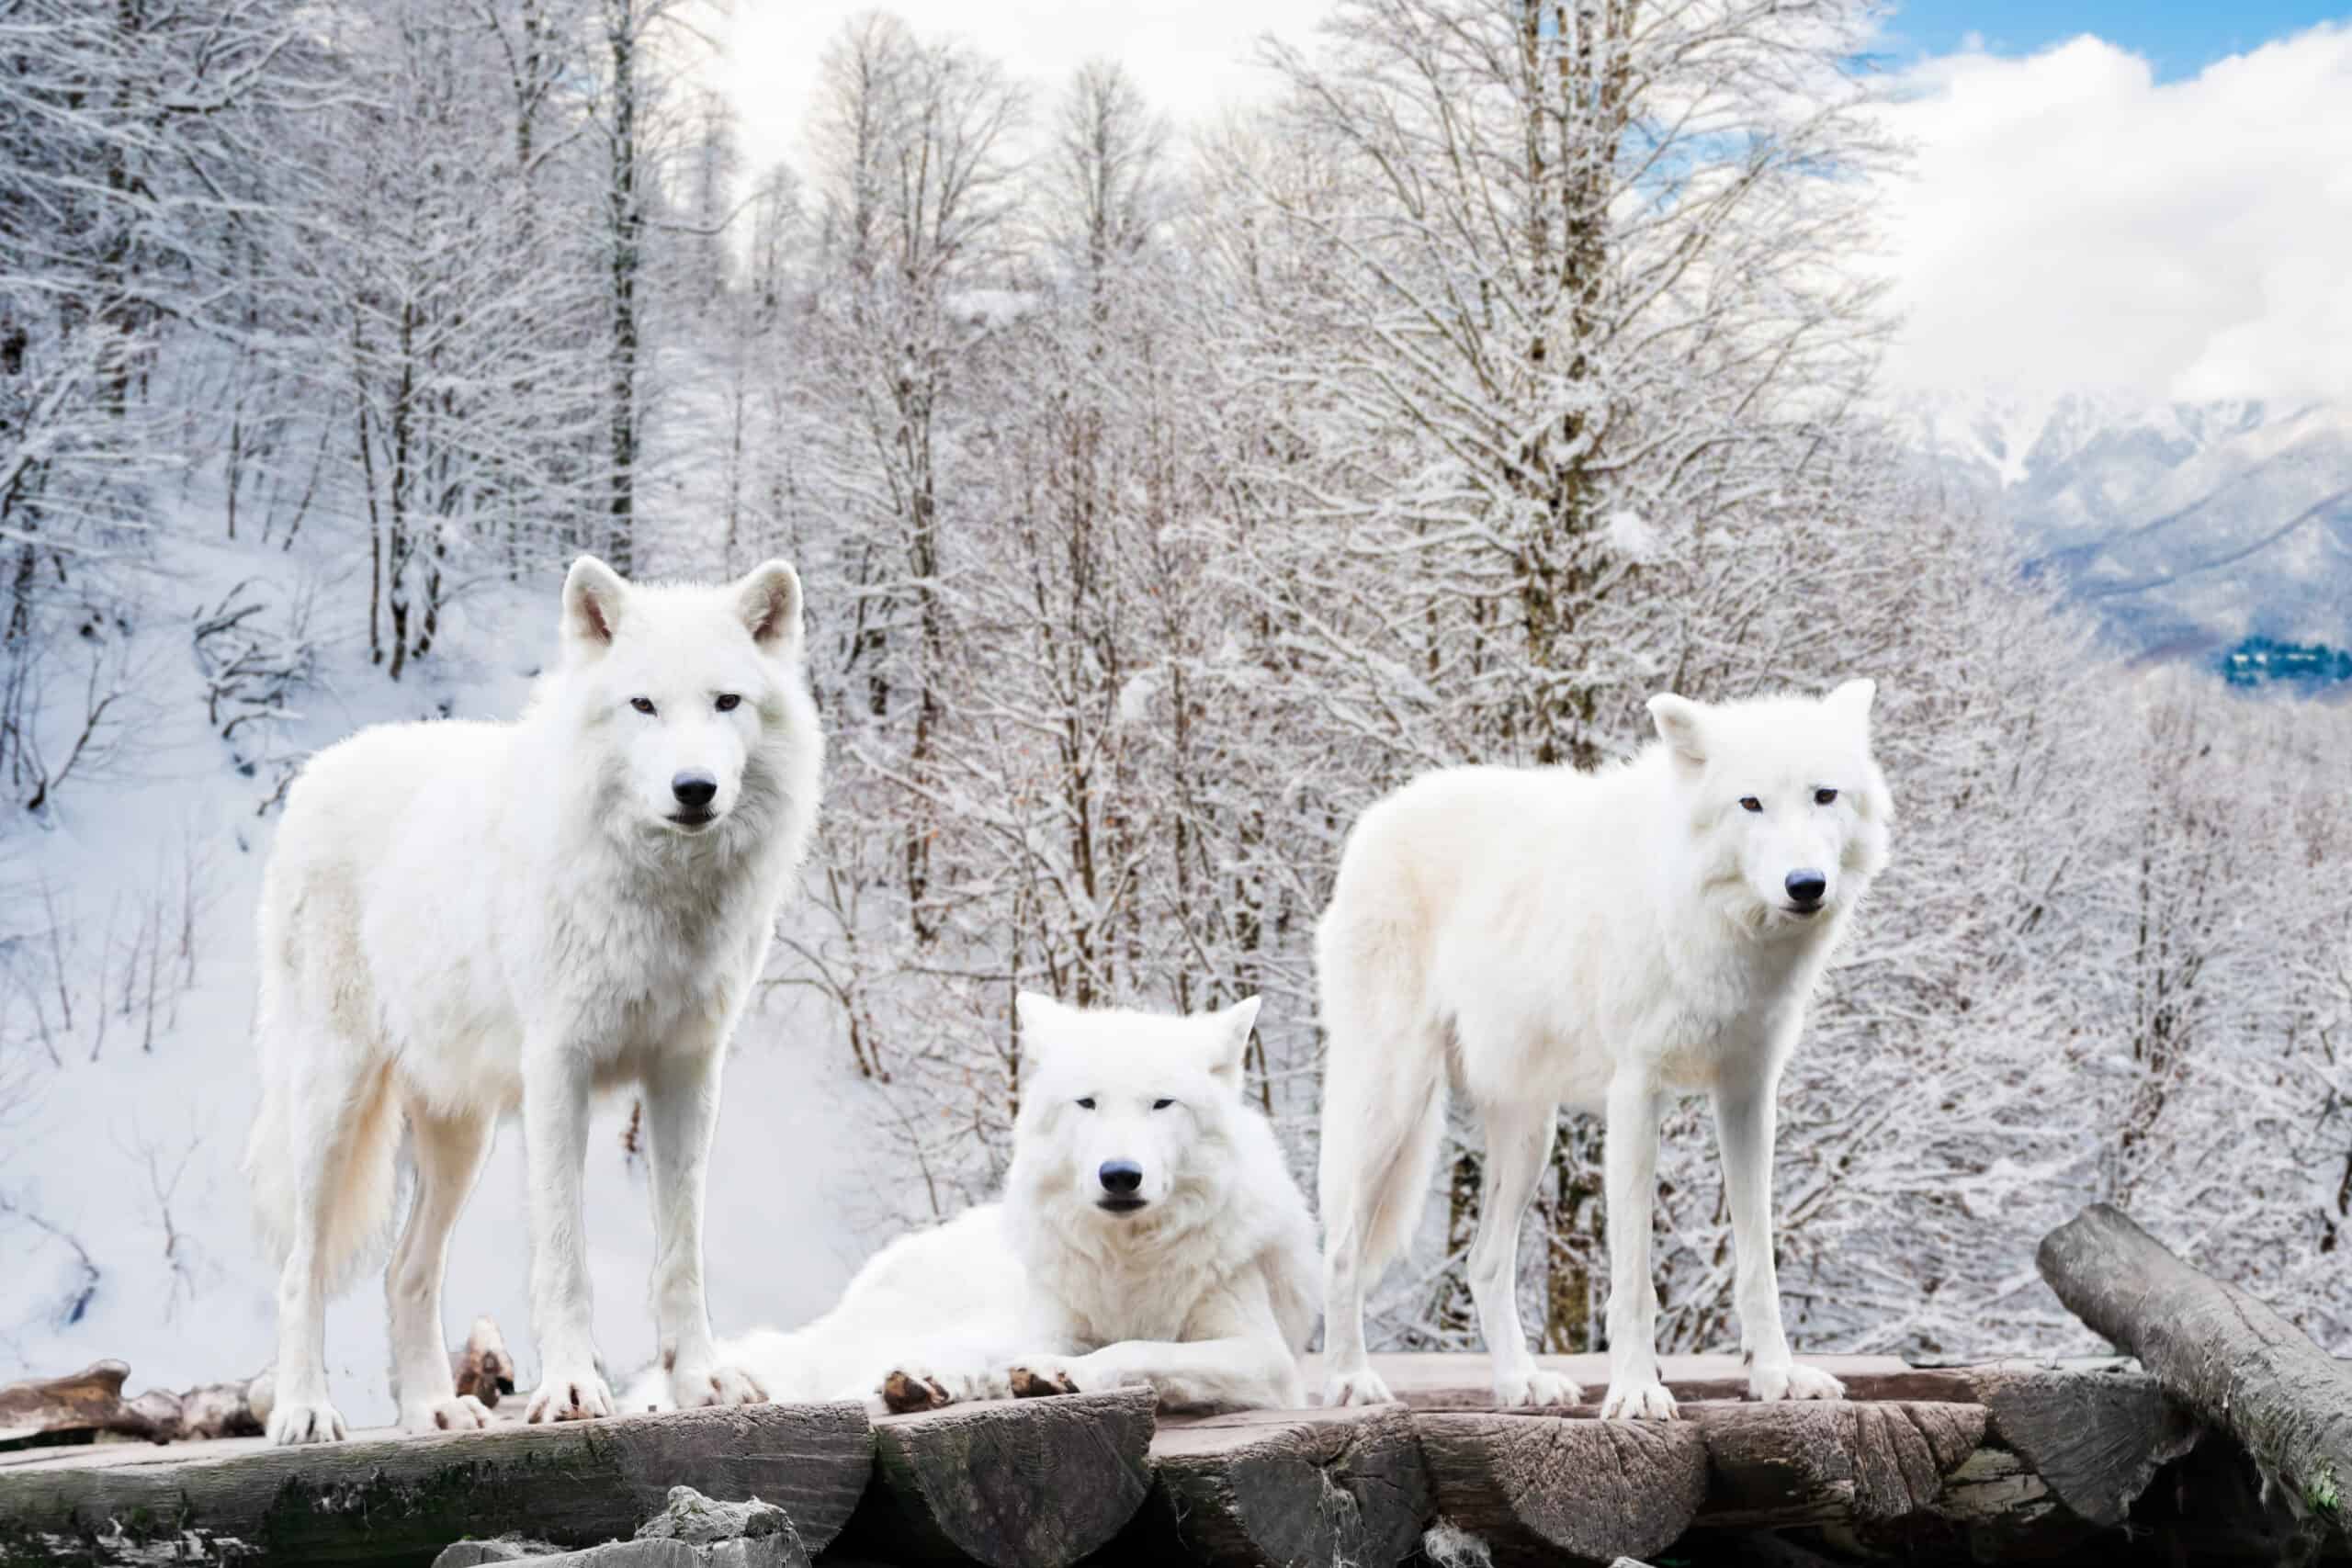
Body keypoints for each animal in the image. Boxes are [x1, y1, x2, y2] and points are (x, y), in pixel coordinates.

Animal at [243, 554, 822, 1443]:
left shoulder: (687, 1072)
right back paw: (306, 1411)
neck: (661, 894)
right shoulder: (559, 1069)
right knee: (299, 1266)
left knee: (405, 1270)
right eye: (644, 705)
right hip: (332, 1103)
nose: (694, 788)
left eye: (727, 702)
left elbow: (681, 1253)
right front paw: (574, 1389)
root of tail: (317, 770)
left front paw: (701, 1381)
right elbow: (564, 1253)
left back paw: (434, 1409)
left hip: (460, 1135)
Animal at [624, 993, 1319, 1416]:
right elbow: (1065, 1348)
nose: (1120, 1176)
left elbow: (1142, 1352)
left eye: (1161, 1104)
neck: (1130, 1262)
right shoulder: (1054, 1320)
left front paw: (1061, 1373)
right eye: (1089, 1103)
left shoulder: (1264, 1357)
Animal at [1315, 681, 1891, 1417]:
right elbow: (1635, 1281)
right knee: (1341, 1249)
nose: (1806, 884)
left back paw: (1521, 1384)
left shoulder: (1747, 1095)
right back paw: (1350, 1381)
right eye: (1751, 803)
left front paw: (1777, 1377)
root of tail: (1378, 816)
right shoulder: (1636, 1095)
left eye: (1824, 795)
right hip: (1393, 1102)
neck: (1709, 921)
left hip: (1529, 1135)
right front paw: (1638, 1390)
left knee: (1484, 1262)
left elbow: (1758, 1263)